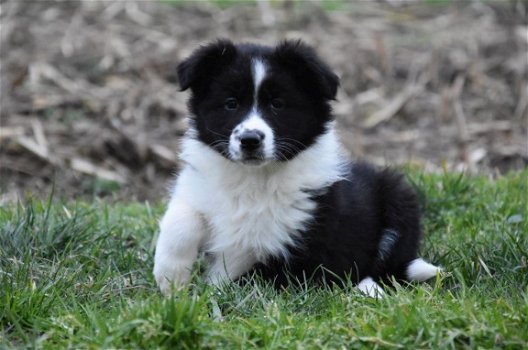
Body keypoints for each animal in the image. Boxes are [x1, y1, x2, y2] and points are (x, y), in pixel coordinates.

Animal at [154, 39, 442, 296]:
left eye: (277, 104)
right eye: (231, 103)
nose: (250, 140)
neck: (253, 177)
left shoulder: (289, 247)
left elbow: (241, 274)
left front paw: (208, 290)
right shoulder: (199, 189)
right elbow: (180, 219)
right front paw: (170, 280)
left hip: (399, 199)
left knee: (385, 267)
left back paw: (369, 289)